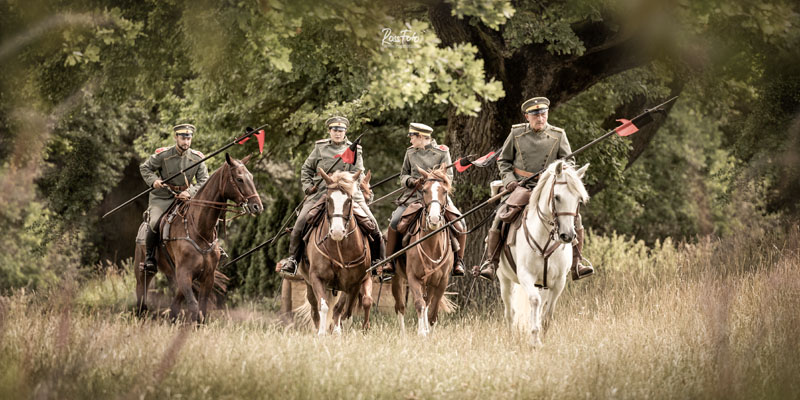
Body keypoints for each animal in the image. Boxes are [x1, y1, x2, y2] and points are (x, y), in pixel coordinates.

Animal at [134, 153, 262, 322]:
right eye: (239, 178)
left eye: (251, 177)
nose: (257, 206)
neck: (199, 229)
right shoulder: (184, 275)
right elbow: (194, 307)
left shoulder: (207, 277)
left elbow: (202, 309)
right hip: (144, 272)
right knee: (141, 298)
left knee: (174, 304)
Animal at [302, 168, 374, 334]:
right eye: (329, 200)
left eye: (349, 200)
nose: (336, 232)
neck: (338, 247)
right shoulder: (316, 277)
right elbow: (323, 306)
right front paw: (322, 332)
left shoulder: (354, 282)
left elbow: (344, 309)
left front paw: (338, 331)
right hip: (308, 282)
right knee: (314, 308)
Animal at [390, 164, 454, 336]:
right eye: (424, 190)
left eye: (444, 191)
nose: (434, 219)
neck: (431, 244)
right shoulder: (414, 277)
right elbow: (419, 304)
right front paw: (421, 333)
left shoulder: (441, 281)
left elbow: (432, 310)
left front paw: (428, 332)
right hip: (398, 279)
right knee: (400, 307)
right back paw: (404, 334)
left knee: (427, 303)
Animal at [496, 161, 592, 346]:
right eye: (557, 197)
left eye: (579, 199)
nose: (567, 236)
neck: (545, 236)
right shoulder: (526, 276)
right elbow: (534, 301)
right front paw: (534, 339)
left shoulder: (559, 281)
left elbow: (548, 311)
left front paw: (543, 338)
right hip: (504, 279)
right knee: (510, 312)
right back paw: (511, 338)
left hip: (543, 284)